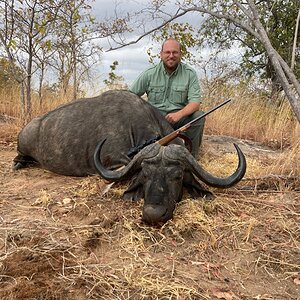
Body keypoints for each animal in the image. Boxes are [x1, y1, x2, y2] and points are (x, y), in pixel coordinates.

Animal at [12, 90, 246, 224]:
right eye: (146, 175)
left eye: (178, 177)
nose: (153, 214)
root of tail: (31, 126)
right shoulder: (112, 160)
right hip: (23, 148)